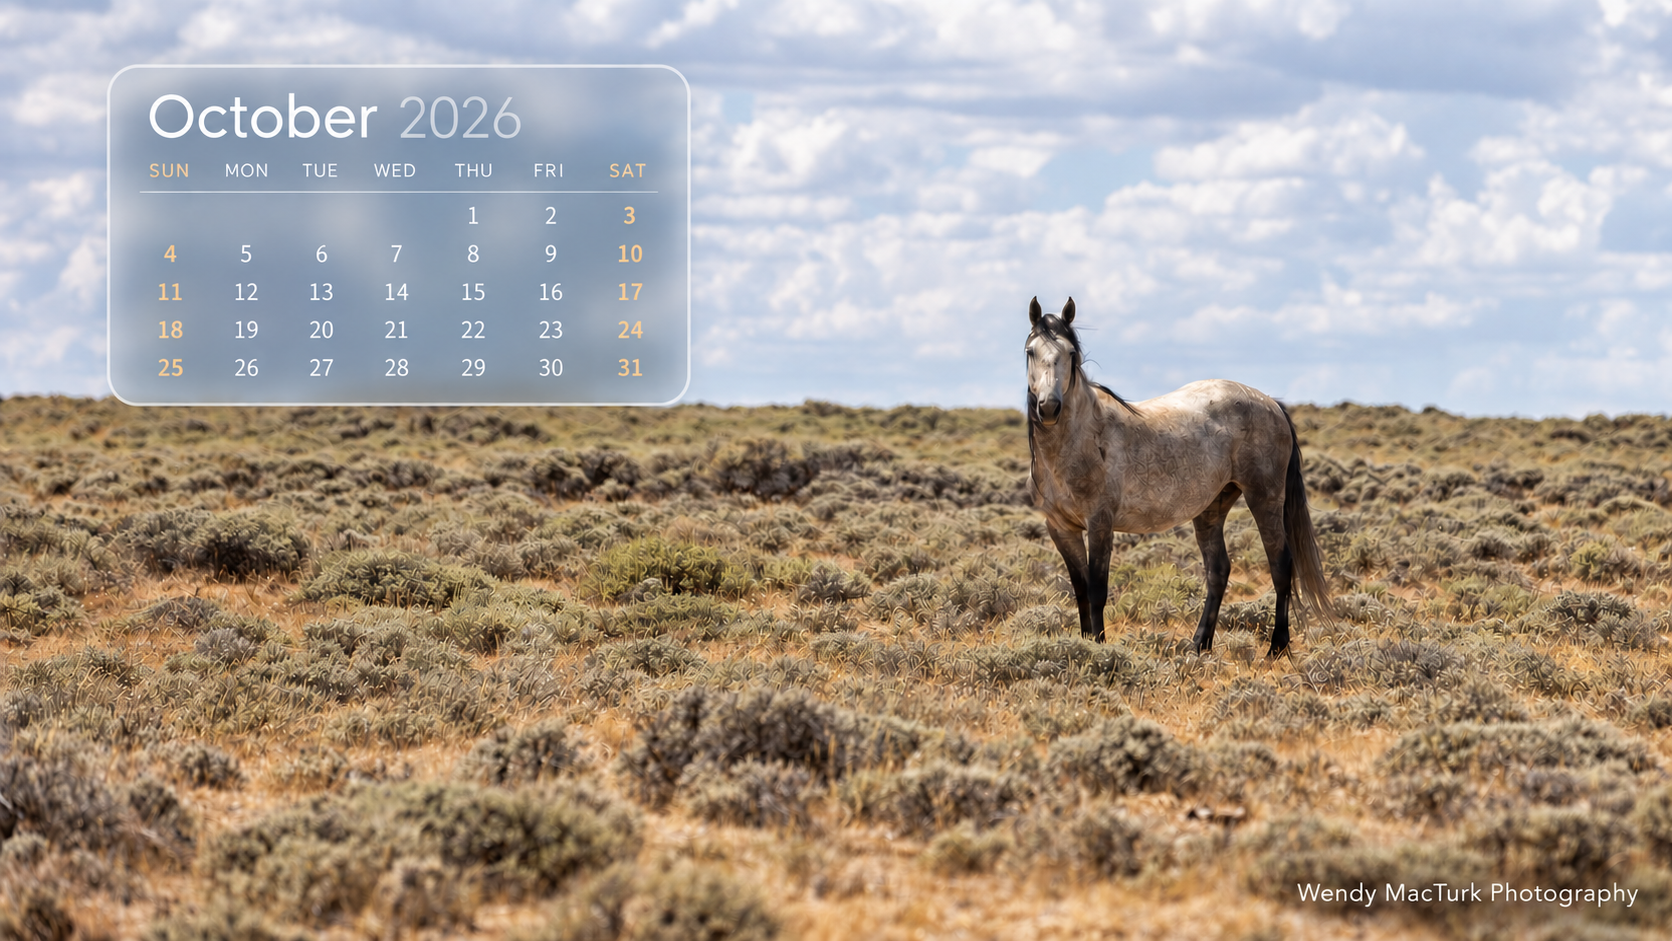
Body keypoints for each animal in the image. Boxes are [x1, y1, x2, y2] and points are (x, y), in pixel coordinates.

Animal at [1024, 296, 1331, 656]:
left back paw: (1276, 647)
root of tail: (1271, 402)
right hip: (1212, 507)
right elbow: (1081, 590)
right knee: (1218, 570)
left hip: (1264, 497)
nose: (1049, 408)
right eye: (1030, 351)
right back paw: (1199, 645)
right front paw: (1086, 645)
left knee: (1280, 564)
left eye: (1070, 353)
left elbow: (1098, 590)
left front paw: (1099, 650)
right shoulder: (1061, 528)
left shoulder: (1100, 523)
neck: (1080, 440)